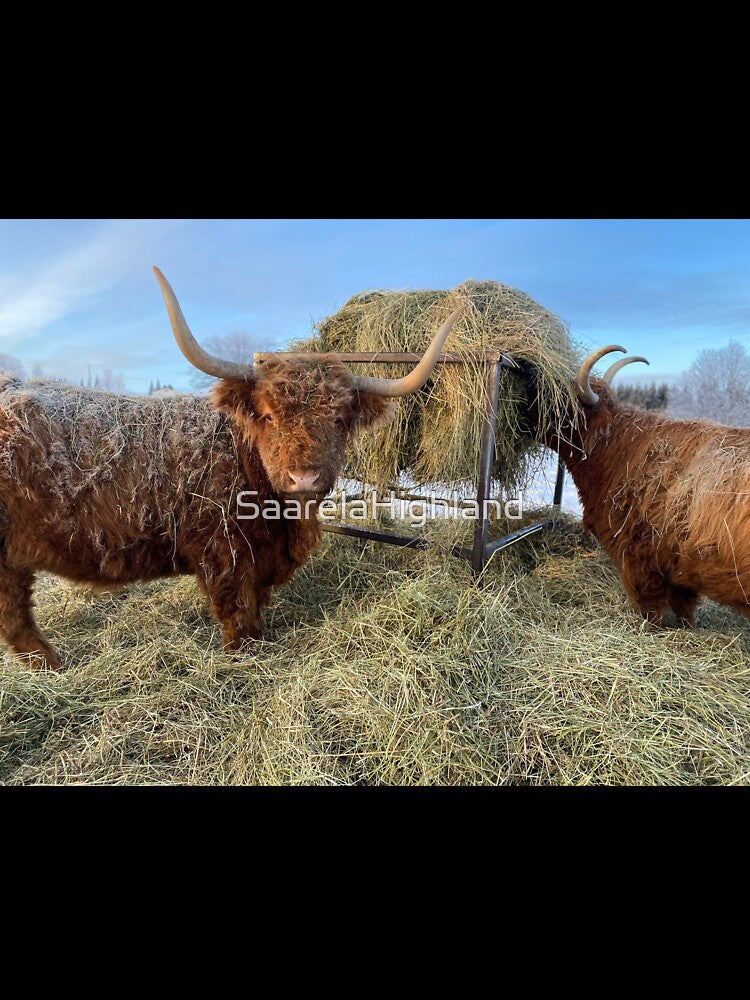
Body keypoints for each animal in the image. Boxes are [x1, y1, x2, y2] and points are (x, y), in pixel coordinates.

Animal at [0, 268, 460, 669]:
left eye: (339, 419)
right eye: (269, 415)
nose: (304, 477)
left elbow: (254, 608)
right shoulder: (224, 552)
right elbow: (237, 612)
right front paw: (242, 655)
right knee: (15, 612)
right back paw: (53, 665)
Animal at [529, 343, 750, 626]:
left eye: (559, 400)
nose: (523, 401)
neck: (617, 450)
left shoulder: (637, 559)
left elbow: (649, 609)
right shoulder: (679, 571)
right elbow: (684, 610)